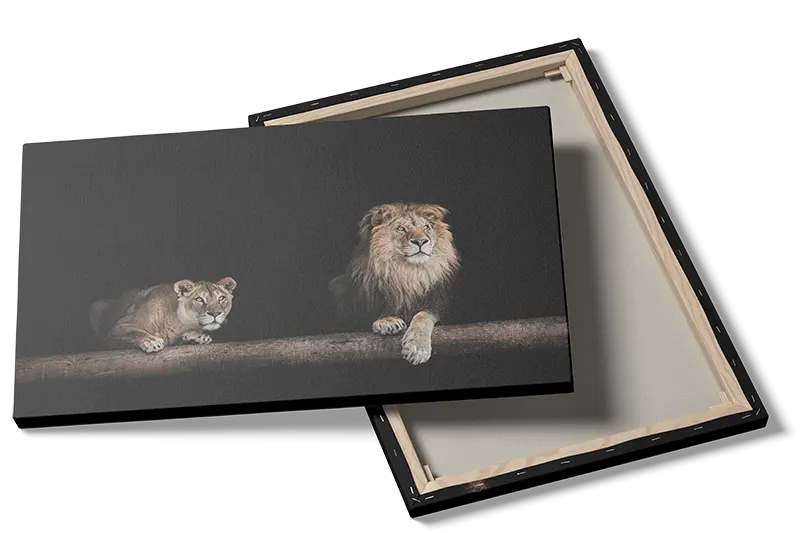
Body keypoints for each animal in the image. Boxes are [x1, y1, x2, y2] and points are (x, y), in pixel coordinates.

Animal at [89, 277, 237, 353]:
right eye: (199, 299)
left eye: (221, 298)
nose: (215, 313)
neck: (180, 322)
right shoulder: (116, 328)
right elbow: (134, 332)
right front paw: (151, 341)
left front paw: (197, 337)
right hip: (96, 306)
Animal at [330, 202, 460, 365]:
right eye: (401, 229)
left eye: (426, 227)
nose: (421, 241)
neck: (406, 273)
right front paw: (387, 321)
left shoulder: (437, 302)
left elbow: (423, 316)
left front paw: (417, 349)